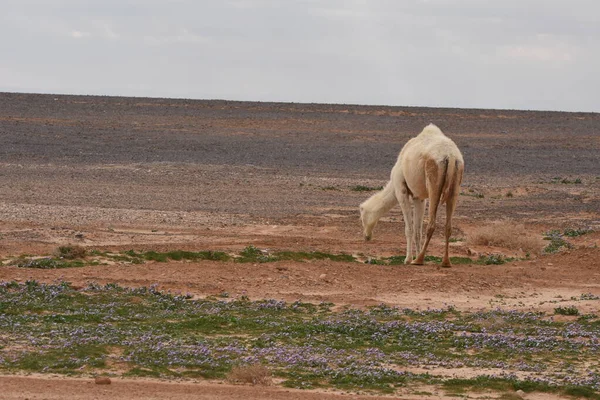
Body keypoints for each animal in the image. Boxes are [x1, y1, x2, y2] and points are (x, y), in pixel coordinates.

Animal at [358, 124, 466, 268]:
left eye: (362, 217)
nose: (366, 236)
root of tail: (450, 156)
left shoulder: (401, 190)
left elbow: (408, 229)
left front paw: (408, 259)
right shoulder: (419, 197)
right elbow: (417, 230)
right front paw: (417, 256)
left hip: (433, 180)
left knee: (432, 224)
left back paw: (419, 259)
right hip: (456, 181)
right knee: (448, 225)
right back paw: (445, 262)